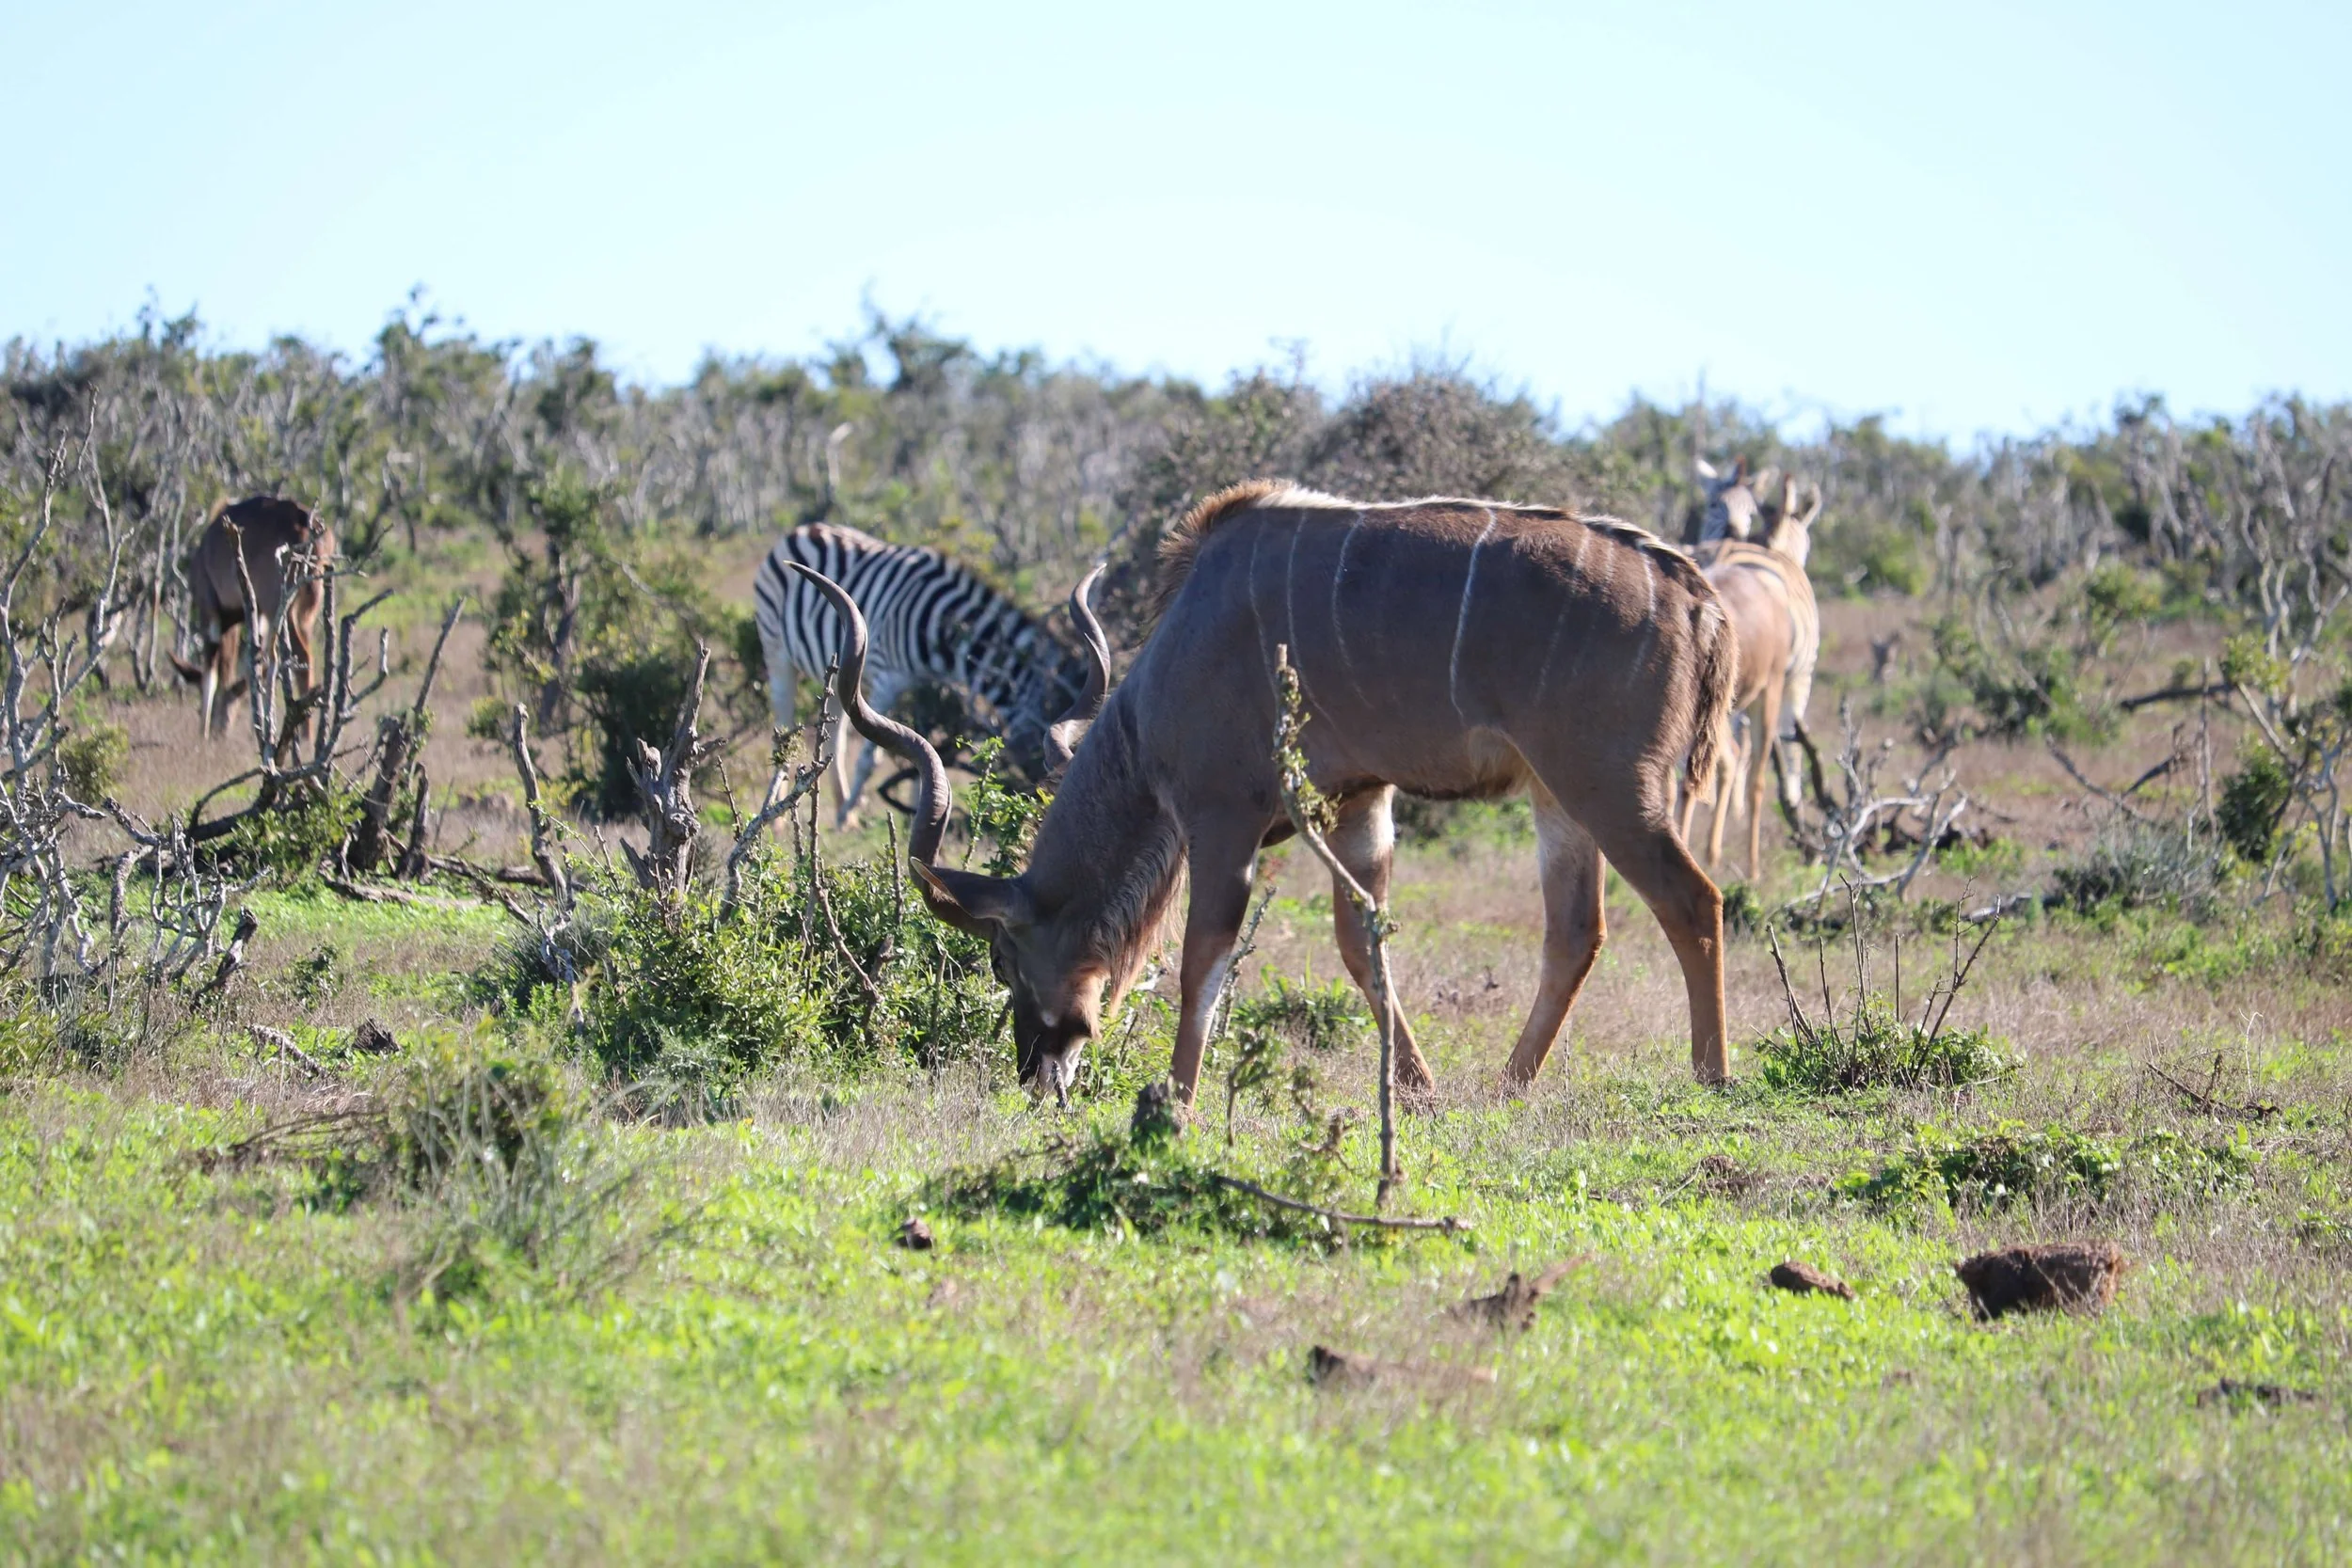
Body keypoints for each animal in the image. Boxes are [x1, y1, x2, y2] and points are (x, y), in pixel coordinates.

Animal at [169, 496, 335, 736]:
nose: (221, 729)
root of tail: (309, 525)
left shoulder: (210, 611)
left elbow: (213, 671)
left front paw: (203, 733)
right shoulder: (258, 617)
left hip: (281, 607)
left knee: (301, 656)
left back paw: (304, 736)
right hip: (304, 612)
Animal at [752, 521, 1093, 822]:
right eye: (1046, 737)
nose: (1043, 796)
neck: (940, 628)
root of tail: (802, 529)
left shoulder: (928, 685)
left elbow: (926, 744)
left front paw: (918, 806)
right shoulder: (887, 676)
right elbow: (869, 759)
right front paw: (849, 813)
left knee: (835, 733)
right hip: (775, 648)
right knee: (782, 727)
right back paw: (786, 815)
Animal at [797, 480, 1739, 1105]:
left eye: (1001, 956)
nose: (1037, 1073)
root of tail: (1695, 594)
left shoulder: (1223, 818)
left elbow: (1202, 959)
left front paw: (1176, 1096)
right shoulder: (1360, 802)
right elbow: (1362, 944)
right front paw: (1420, 1088)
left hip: (1610, 786)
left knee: (1694, 900)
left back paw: (1712, 1077)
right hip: (1556, 794)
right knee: (1577, 930)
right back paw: (1507, 1085)